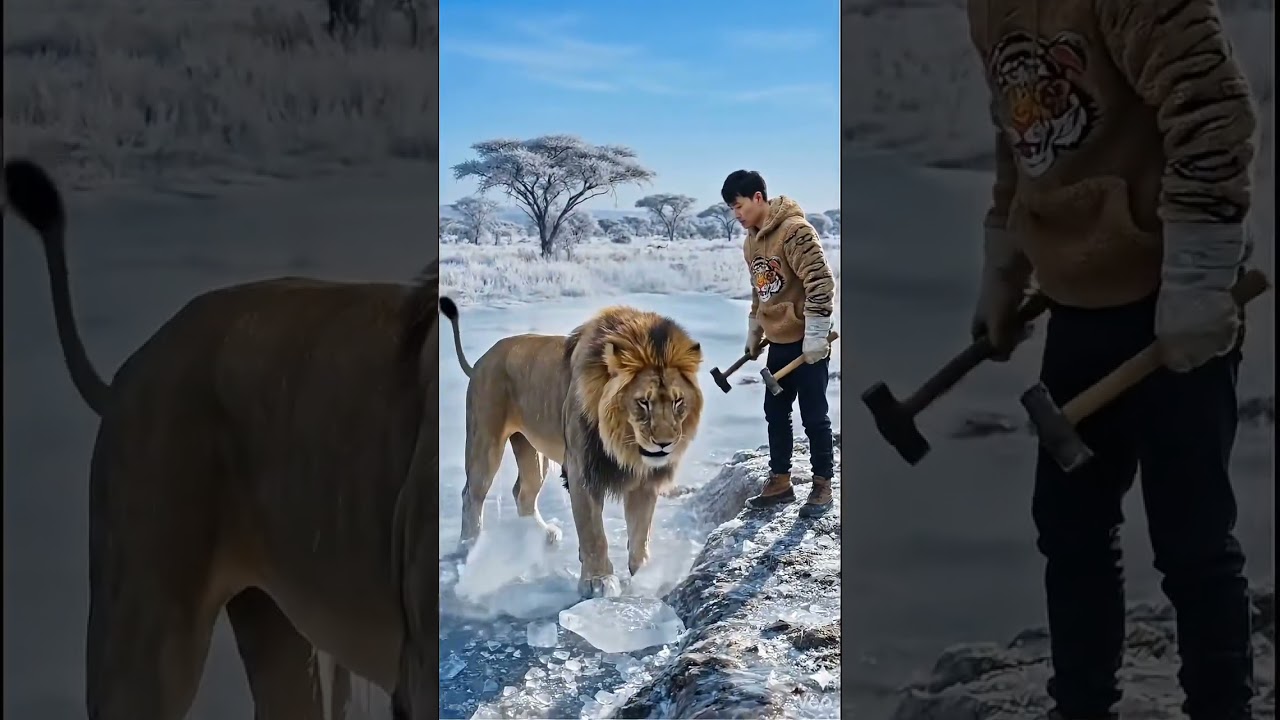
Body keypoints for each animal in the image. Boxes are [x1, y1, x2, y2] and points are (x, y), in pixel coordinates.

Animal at [439, 297, 705, 599]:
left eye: (677, 402)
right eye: (643, 402)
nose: (664, 444)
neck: (623, 446)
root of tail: (481, 361)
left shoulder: (644, 481)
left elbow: (640, 533)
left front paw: (647, 576)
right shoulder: (581, 469)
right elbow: (593, 532)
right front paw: (598, 580)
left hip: (532, 449)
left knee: (523, 491)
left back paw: (542, 534)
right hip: (486, 442)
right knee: (472, 494)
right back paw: (469, 548)